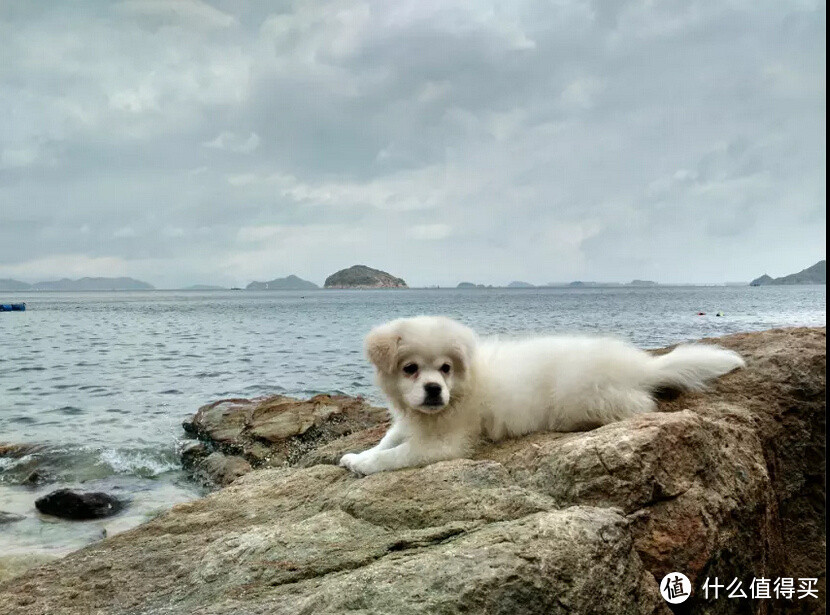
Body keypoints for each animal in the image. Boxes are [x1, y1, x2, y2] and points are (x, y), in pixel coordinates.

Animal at [340, 318, 748, 476]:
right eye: (410, 369)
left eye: (445, 368)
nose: (433, 389)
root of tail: (638, 366)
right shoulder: (410, 421)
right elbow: (389, 439)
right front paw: (356, 455)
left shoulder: (444, 443)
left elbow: (397, 454)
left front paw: (365, 465)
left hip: (582, 397)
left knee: (640, 404)